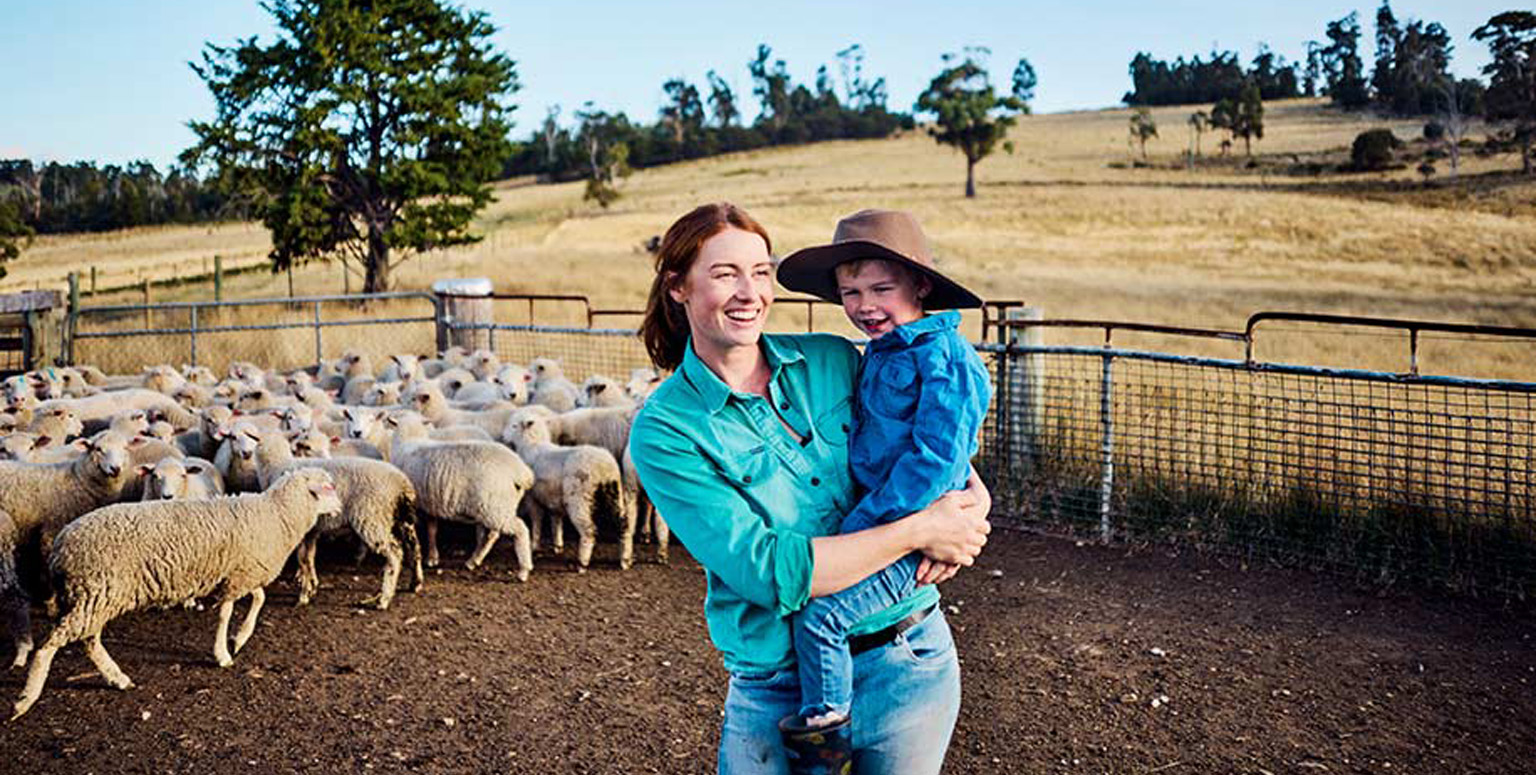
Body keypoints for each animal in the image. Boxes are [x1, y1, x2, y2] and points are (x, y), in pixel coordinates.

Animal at [9, 463, 342, 715]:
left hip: (95, 595)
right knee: (51, 645)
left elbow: (257, 599)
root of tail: (61, 546)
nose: (339, 508)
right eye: (327, 487)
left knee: (89, 641)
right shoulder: (238, 575)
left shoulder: (240, 572)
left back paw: (118, 678)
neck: (277, 514)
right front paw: (224, 653)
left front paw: (239, 638)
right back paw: (26, 700)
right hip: (95, 592)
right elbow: (228, 612)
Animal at [253, 432, 423, 607]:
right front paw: (312, 585)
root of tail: (401, 484)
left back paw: (384, 598)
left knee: (395, 554)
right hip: (403, 519)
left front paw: (304, 595)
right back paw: (415, 583)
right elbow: (309, 557)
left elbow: (303, 559)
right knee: (415, 547)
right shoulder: (312, 529)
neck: (277, 465)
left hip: (372, 518)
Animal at [387, 411, 537, 580]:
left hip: (494, 506)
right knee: (492, 535)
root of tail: (520, 471)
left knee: (520, 530)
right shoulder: (430, 504)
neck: (410, 439)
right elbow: (432, 529)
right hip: (497, 507)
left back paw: (523, 570)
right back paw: (474, 561)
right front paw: (432, 558)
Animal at [500, 414, 626, 570]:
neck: (531, 445)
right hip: (614, 494)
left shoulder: (532, 498)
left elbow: (537, 520)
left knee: (589, 530)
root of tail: (604, 467)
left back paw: (582, 562)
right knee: (623, 525)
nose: (502, 437)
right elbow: (556, 520)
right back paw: (625, 559)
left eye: (514, 425)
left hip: (579, 498)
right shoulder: (553, 497)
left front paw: (534, 546)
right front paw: (558, 545)